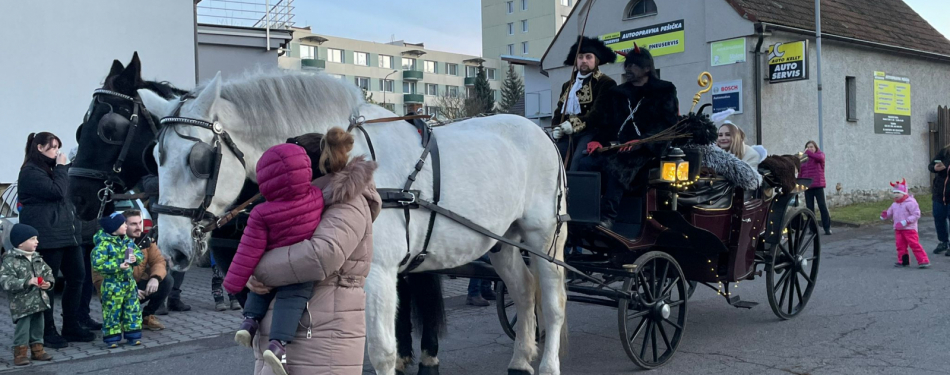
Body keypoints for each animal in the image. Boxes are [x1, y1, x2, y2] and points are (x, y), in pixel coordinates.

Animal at [151, 71, 564, 375]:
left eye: (199, 160)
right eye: (155, 156)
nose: (172, 249)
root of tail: (543, 133)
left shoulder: (379, 272)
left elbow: (382, 350)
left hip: (543, 238)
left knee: (553, 300)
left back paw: (547, 364)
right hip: (504, 240)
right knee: (523, 291)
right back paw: (520, 360)